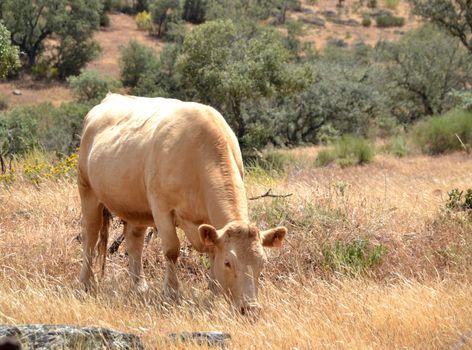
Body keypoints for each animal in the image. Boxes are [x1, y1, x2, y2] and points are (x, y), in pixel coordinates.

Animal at [78, 93, 286, 314]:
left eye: (262, 263)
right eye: (228, 263)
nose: (251, 308)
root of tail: (111, 97)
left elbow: (212, 250)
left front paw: (214, 293)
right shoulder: (161, 207)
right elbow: (172, 250)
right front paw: (172, 293)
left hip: (135, 205)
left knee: (135, 240)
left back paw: (140, 287)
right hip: (87, 189)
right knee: (90, 235)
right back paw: (85, 283)